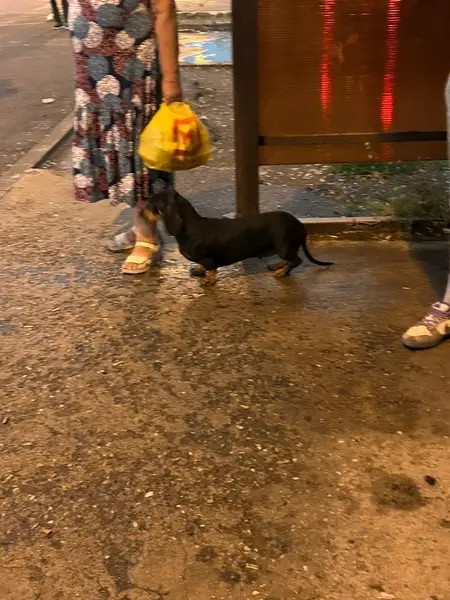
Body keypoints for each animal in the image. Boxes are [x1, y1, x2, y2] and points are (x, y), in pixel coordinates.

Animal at [151, 188, 334, 286]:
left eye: (156, 198)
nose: (147, 196)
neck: (191, 227)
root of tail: (299, 225)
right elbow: (203, 267)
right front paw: (199, 270)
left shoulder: (208, 259)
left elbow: (211, 269)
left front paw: (209, 280)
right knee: (290, 259)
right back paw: (278, 265)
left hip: (284, 247)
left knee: (297, 260)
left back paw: (282, 272)